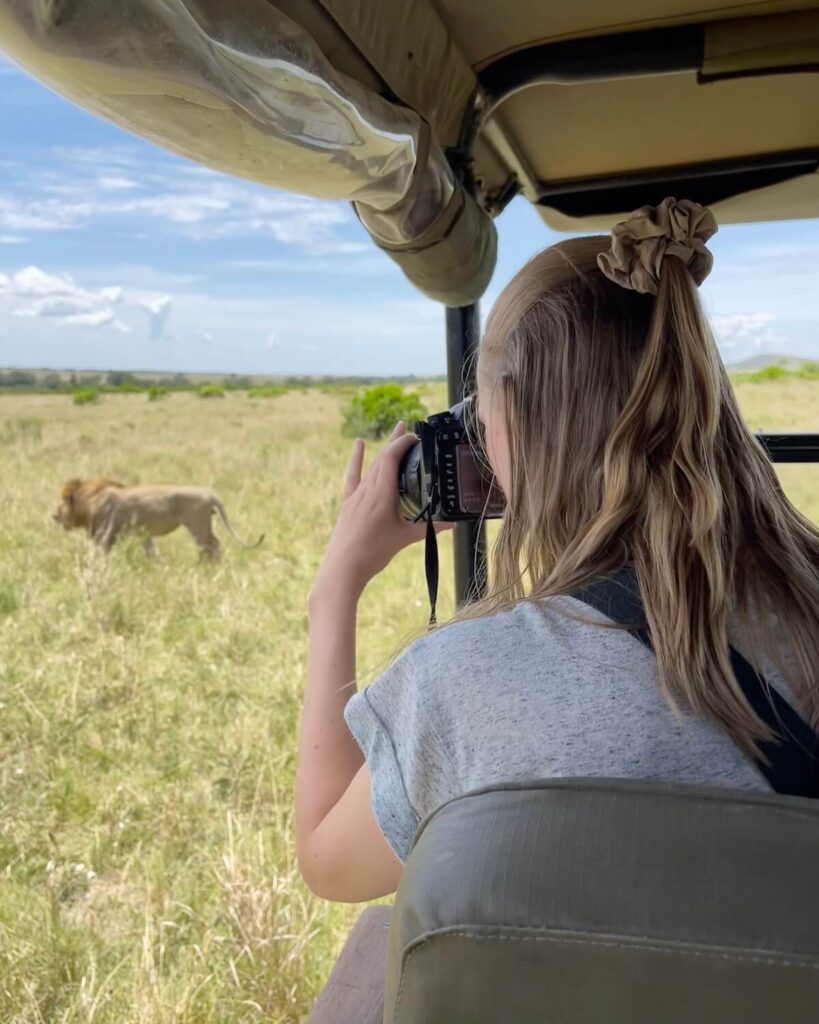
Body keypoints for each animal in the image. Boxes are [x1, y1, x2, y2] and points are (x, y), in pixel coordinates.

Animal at [53, 478, 264, 560]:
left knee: (211, 545)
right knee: (214, 544)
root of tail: (209, 493)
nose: (54, 516)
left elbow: (99, 557)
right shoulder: (144, 535)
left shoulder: (105, 536)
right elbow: (152, 553)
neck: (88, 502)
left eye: (62, 503)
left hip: (197, 525)